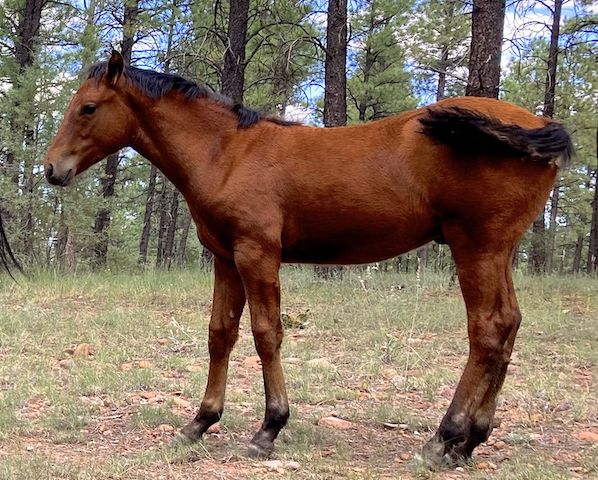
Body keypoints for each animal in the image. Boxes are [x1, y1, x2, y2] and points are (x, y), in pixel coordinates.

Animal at [45, 53, 572, 468]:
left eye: (88, 107)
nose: (52, 169)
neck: (228, 154)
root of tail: (537, 127)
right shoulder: (225, 258)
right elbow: (220, 334)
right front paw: (199, 422)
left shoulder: (258, 253)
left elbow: (265, 334)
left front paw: (268, 430)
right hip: (498, 250)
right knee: (508, 324)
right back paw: (470, 442)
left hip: (476, 246)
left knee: (487, 330)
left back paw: (442, 439)